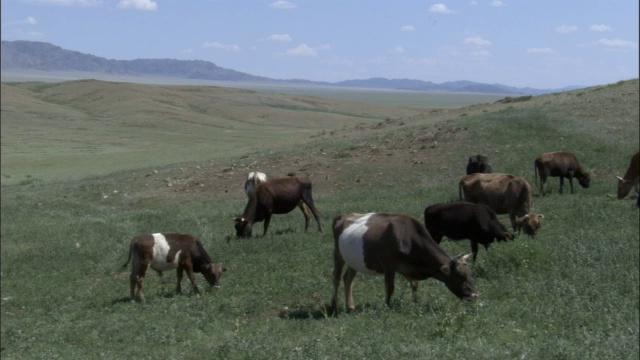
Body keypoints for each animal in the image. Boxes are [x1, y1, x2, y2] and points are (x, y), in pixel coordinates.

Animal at [332, 212, 478, 314]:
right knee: (336, 278)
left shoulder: (409, 268)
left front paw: (416, 303)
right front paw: (387, 306)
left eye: (471, 275)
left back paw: (350, 306)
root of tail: (343, 215)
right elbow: (390, 288)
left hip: (353, 260)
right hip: (338, 254)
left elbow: (414, 285)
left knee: (348, 278)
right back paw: (334, 307)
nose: (475, 296)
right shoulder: (389, 266)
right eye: (460, 276)